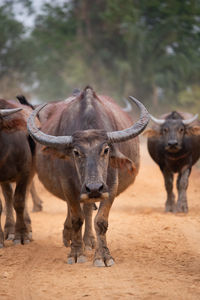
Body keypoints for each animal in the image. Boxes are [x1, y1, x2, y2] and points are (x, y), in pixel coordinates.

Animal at [27, 85, 148, 266]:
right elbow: (77, 218)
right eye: (76, 152)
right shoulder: (68, 185)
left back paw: (89, 241)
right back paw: (69, 236)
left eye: (106, 149)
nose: (94, 188)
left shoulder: (110, 186)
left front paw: (103, 256)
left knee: (88, 209)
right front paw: (76, 253)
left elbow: (100, 221)